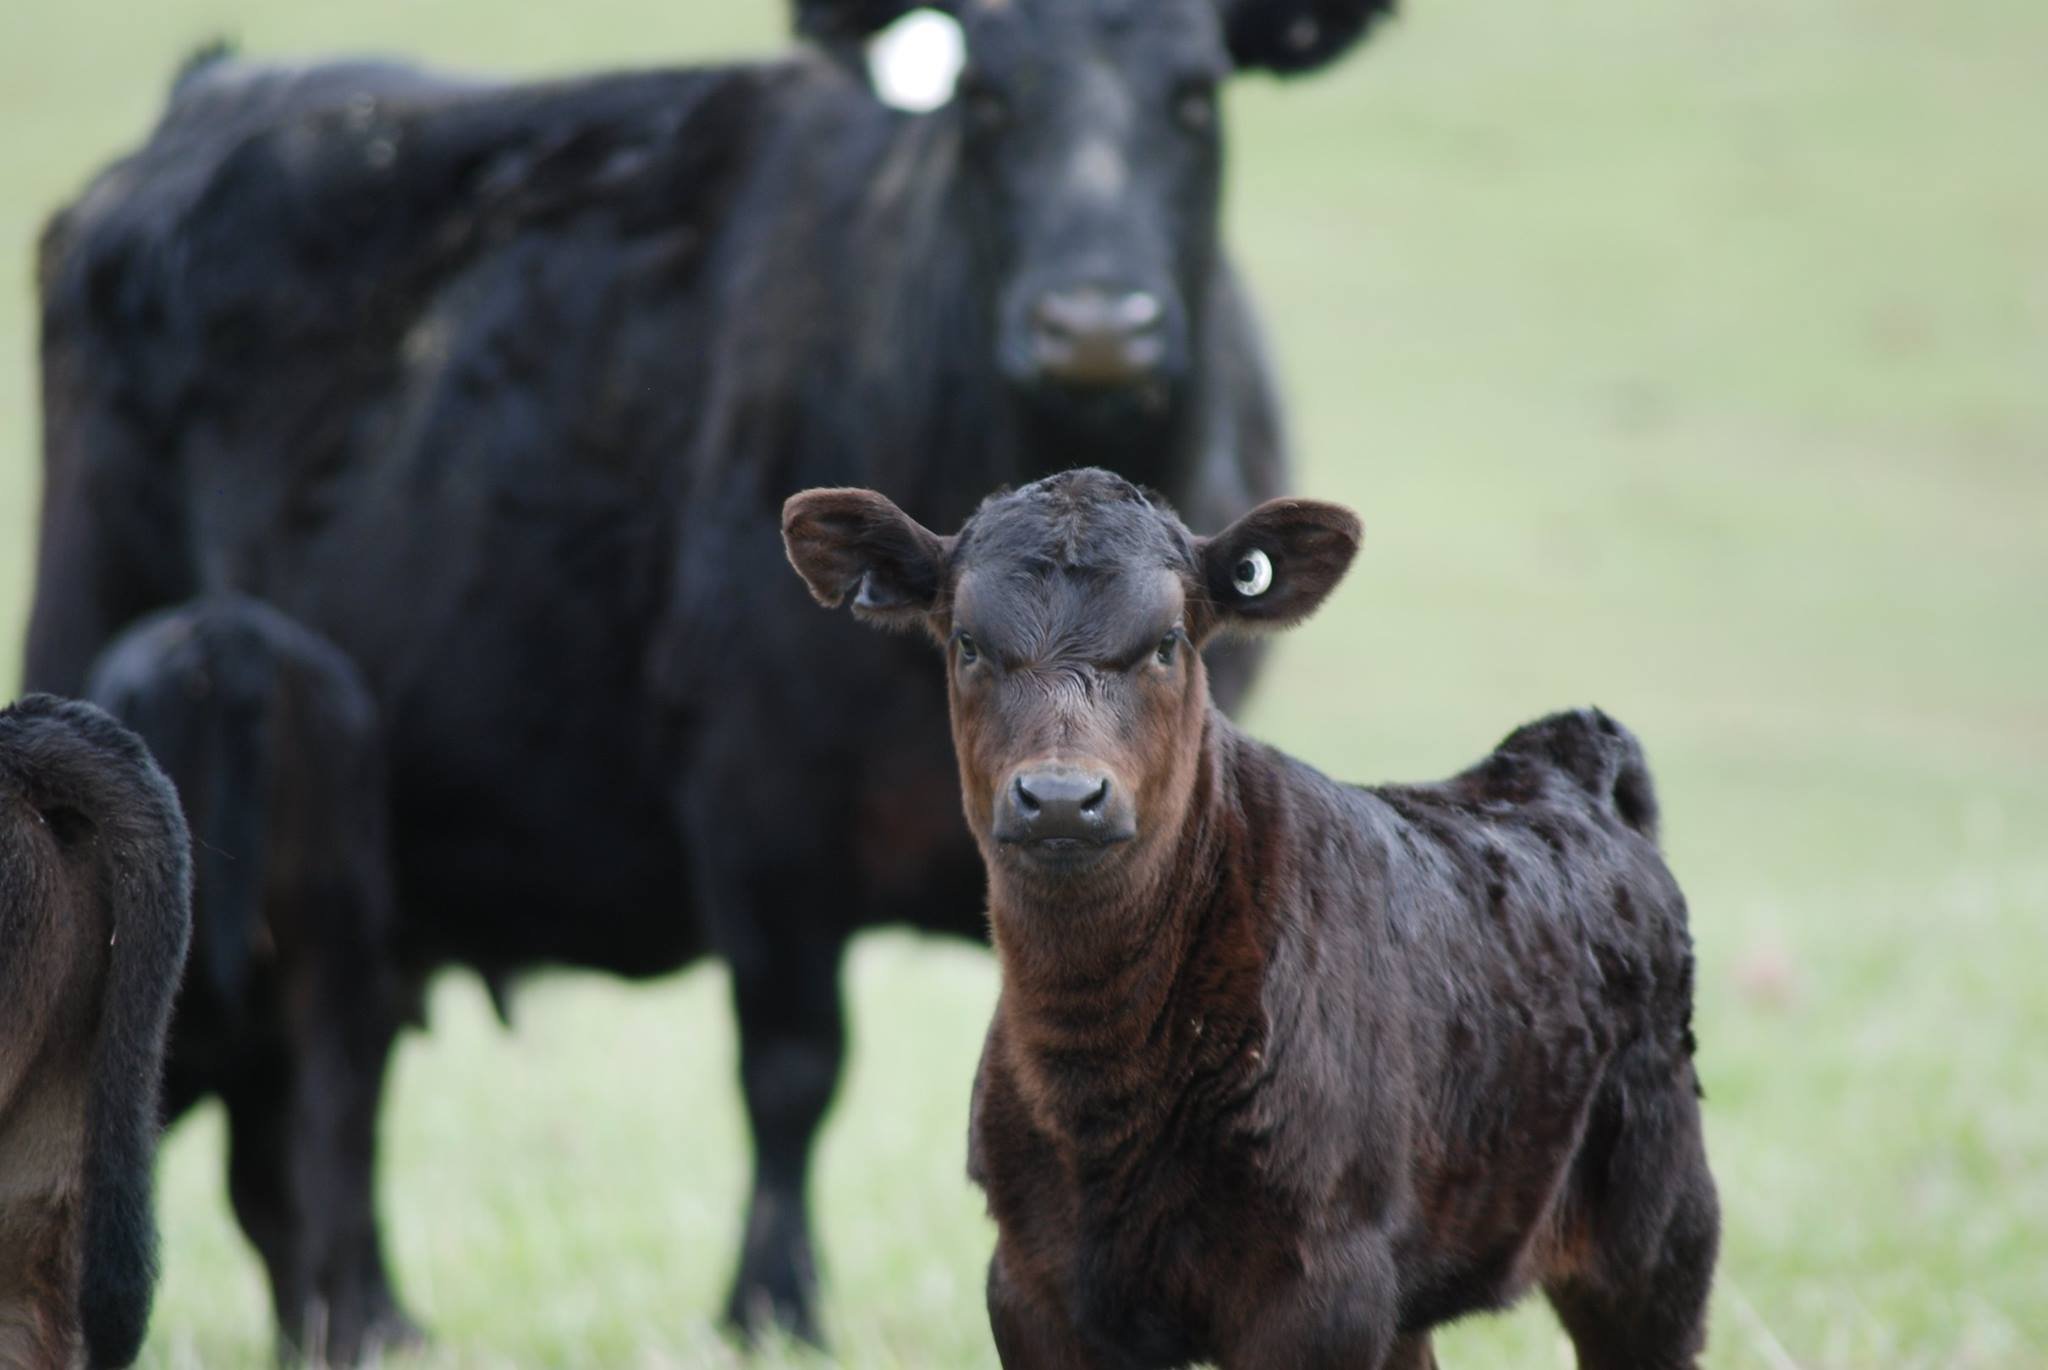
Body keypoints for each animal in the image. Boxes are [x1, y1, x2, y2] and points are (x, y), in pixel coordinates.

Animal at [782, 471, 1712, 1367]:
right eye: (968, 643)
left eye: (1168, 642)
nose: (1061, 798)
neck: (1102, 1081)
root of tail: (1555, 765)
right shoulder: (1031, 1283)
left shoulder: (1319, 1290)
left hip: (1657, 1236)